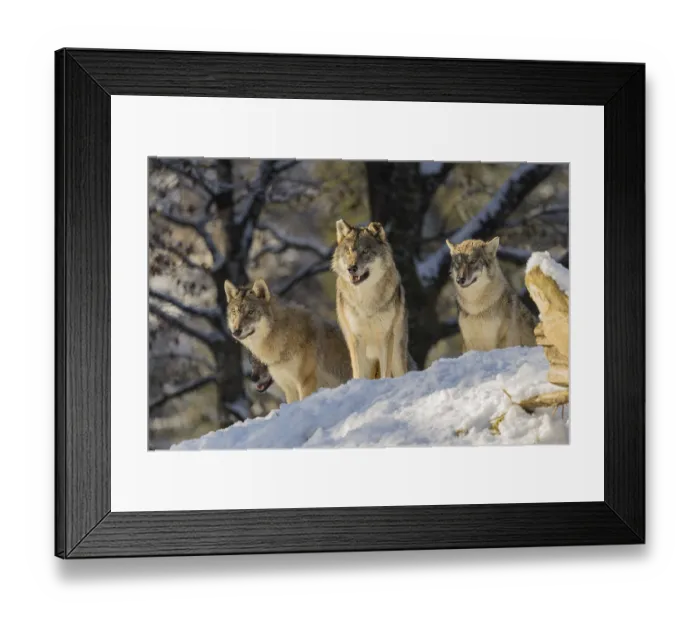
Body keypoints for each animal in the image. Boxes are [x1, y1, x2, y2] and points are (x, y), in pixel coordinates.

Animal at [333, 219, 409, 380]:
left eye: (365, 251)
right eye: (348, 251)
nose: (351, 268)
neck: (365, 301)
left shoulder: (385, 337)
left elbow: (386, 373)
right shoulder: (356, 339)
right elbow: (358, 373)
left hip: (397, 354)